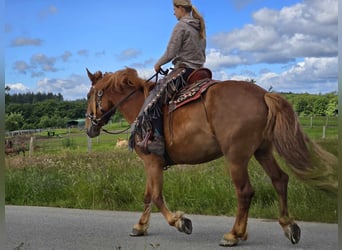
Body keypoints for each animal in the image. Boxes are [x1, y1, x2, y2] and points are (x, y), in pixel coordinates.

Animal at [85, 67, 336, 247]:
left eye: (89, 95)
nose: (89, 127)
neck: (142, 110)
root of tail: (263, 94)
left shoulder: (152, 162)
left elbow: (156, 196)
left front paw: (180, 222)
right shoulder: (150, 165)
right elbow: (148, 196)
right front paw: (139, 227)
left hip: (236, 157)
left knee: (245, 191)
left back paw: (234, 234)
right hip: (262, 151)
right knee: (279, 180)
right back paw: (288, 226)